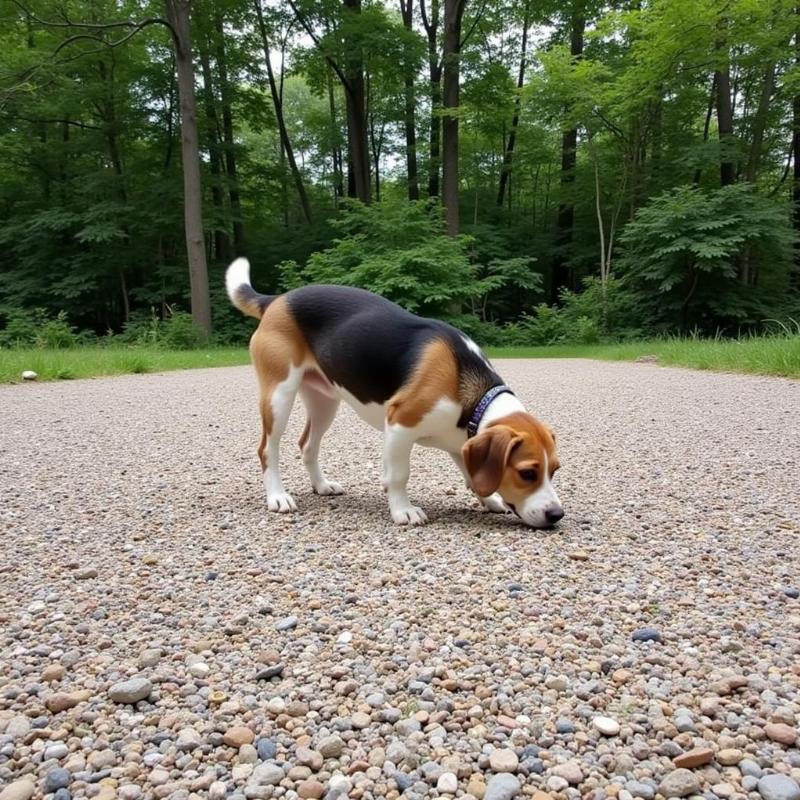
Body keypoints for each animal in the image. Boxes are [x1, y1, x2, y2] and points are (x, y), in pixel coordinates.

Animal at [225, 260, 564, 528]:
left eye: (554, 470)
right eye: (528, 473)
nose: (556, 514)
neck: (475, 398)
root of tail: (276, 300)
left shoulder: (460, 441)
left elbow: (469, 473)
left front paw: (489, 499)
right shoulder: (401, 423)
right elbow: (400, 474)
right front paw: (403, 510)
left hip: (325, 401)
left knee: (307, 444)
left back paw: (321, 486)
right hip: (279, 395)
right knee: (268, 450)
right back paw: (278, 496)